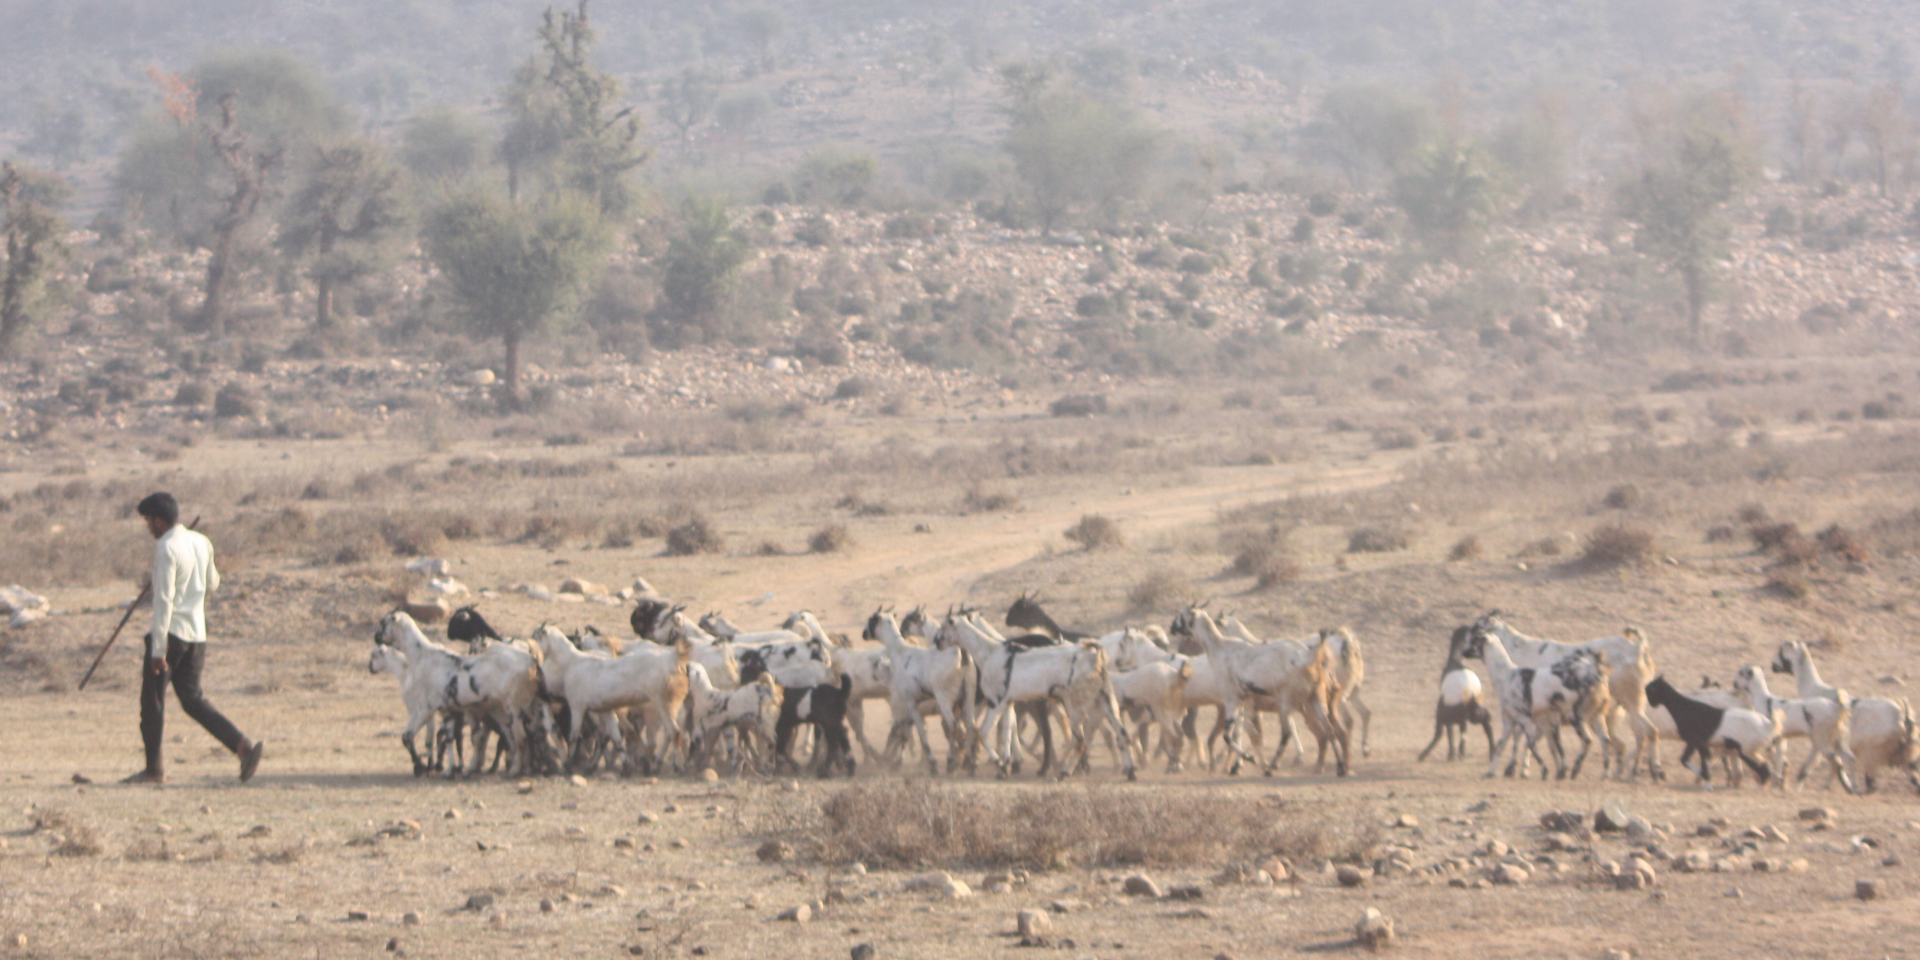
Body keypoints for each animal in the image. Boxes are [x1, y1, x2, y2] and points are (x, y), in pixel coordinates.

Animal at [1413, 625, 1497, 760]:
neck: (1454, 663)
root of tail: (1470, 694)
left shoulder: (1447, 713)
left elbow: (1450, 732)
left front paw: (1453, 754)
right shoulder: (1461, 718)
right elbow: (1462, 730)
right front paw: (1460, 752)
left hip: (1445, 712)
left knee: (1440, 732)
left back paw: (1427, 755)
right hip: (1475, 712)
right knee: (1485, 723)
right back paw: (1491, 752)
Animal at [1643, 675, 1774, 787]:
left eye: (1649, 691)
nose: (1650, 705)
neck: (1685, 708)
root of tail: (1767, 724)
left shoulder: (1694, 741)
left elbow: (1686, 760)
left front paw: (1706, 780)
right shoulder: (1702, 744)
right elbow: (1703, 760)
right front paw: (1707, 781)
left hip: (1745, 751)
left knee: (1762, 766)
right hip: (1745, 750)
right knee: (1763, 765)